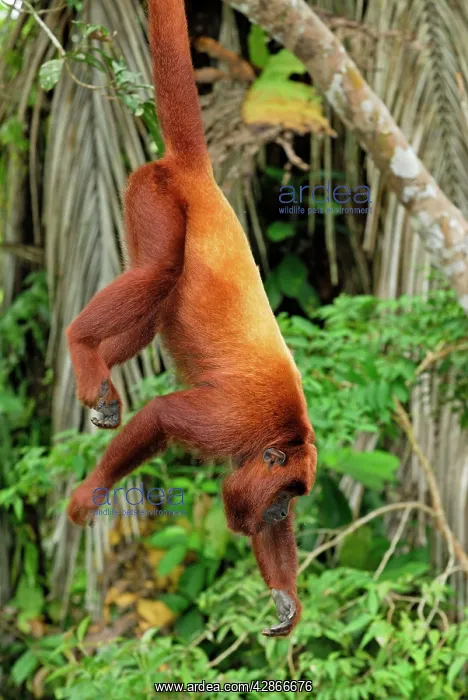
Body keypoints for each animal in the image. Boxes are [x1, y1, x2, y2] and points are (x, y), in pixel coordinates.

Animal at [66, 0, 317, 637]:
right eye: (285, 495)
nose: (281, 513)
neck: (282, 432)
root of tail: (200, 178)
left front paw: (284, 595)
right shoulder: (234, 422)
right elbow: (161, 415)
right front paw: (93, 492)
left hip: (140, 206)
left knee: (153, 305)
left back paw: (99, 369)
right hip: (156, 197)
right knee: (159, 269)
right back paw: (81, 344)